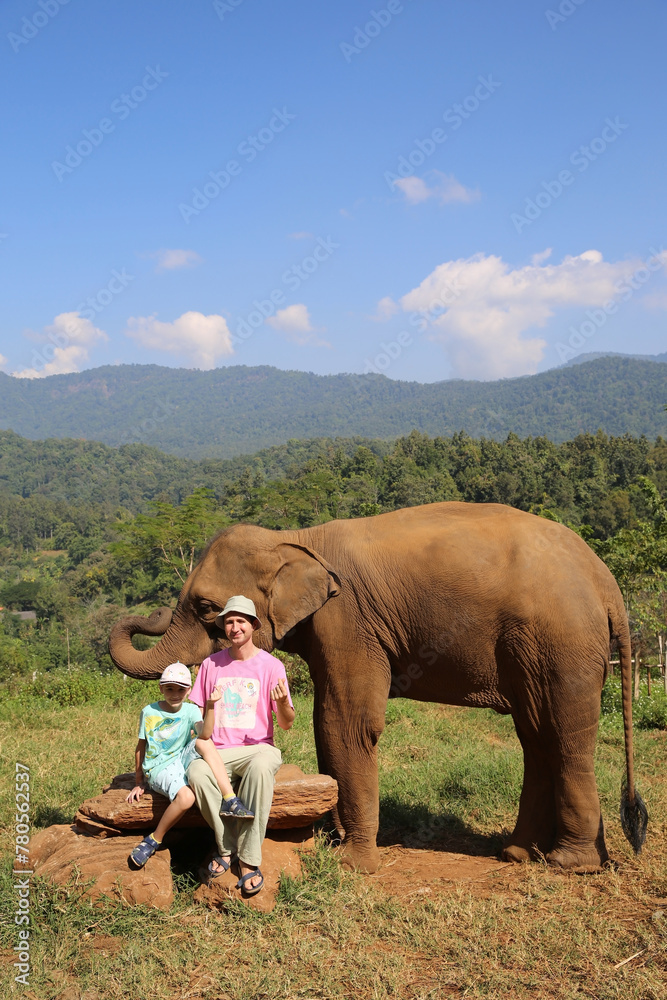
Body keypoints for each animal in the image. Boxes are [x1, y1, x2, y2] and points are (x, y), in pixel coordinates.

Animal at [109, 501, 647, 874]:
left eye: (204, 607)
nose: (151, 612)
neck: (296, 540)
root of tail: (608, 584)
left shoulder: (349, 620)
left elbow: (347, 721)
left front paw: (352, 864)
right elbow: (325, 719)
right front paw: (330, 839)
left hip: (563, 641)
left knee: (565, 734)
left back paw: (569, 864)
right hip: (537, 647)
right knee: (535, 735)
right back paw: (517, 854)